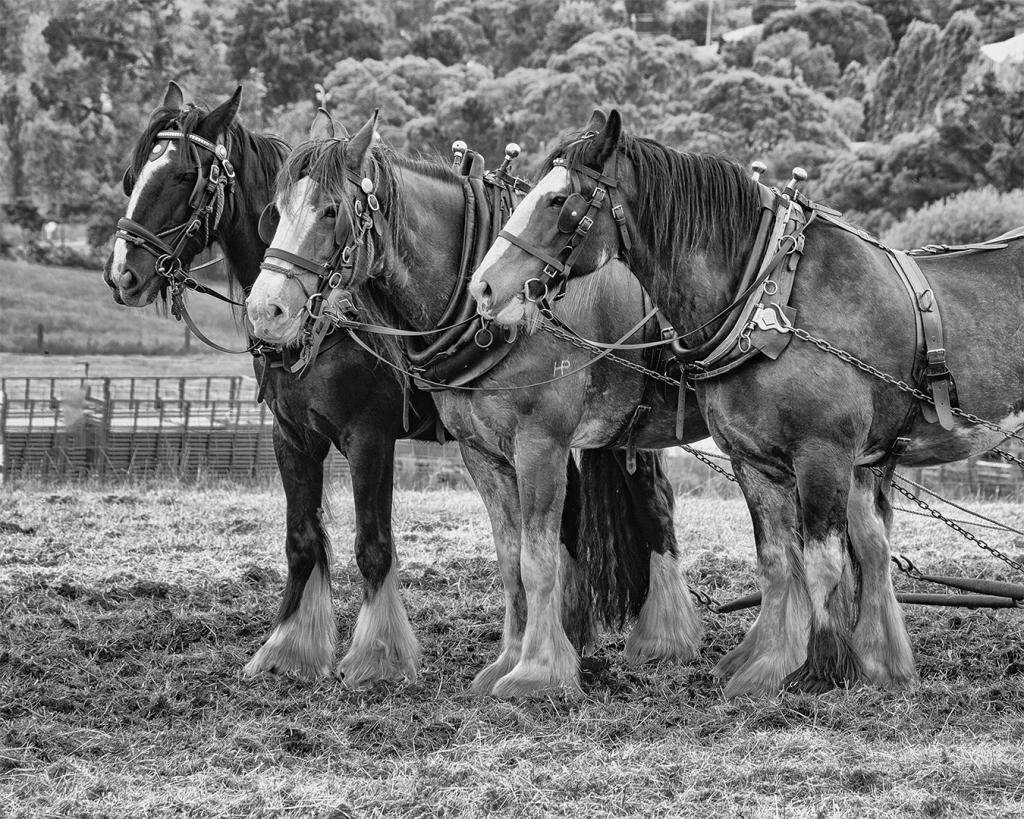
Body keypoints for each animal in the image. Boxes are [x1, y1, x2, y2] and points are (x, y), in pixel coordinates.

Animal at [243, 108, 708, 696]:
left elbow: (531, 558)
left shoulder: (526, 445)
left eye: (330, 211)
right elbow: (509, 558)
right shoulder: (475, 452)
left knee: (658, 508)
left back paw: (665, 639)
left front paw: (535, 673)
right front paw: (507, 661)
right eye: (274, 212)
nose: (267, 310)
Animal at [468, 110, 1024, 696]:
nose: (483, 288)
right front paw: (767, 667)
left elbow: (823, 562)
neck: (771, 300)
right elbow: (778, 561)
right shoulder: (753, 460)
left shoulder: (824, 455)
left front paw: (821, 671)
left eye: (559, 201)